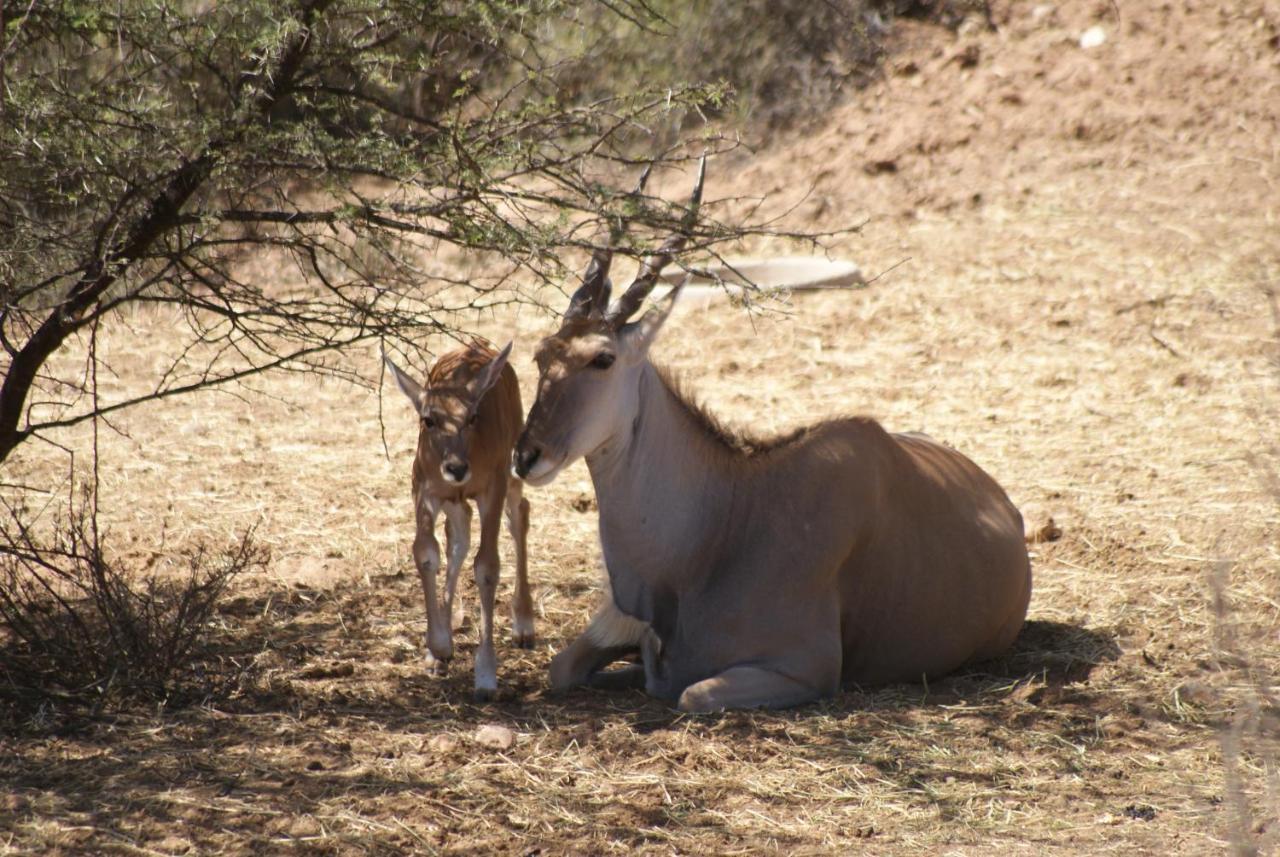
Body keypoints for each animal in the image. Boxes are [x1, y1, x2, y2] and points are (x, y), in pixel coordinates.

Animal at [384, 340, 535, 700]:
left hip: (512, 466)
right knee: (459, 539)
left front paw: (486, 675)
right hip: (454, 500)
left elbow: (488, 566)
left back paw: (524, 626)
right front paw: (438, 648)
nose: (456, 467)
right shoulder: (423, 485)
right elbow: (426, 552)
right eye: (428, 419)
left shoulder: (491, 486)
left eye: (472, 417)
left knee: (519, 515)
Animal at [509, 165, 1029, 716]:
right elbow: (564, 667)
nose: (527, 456)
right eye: (543, 354)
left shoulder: (803, 670)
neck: (730, 518)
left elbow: (689, 693)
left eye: (602, 358)